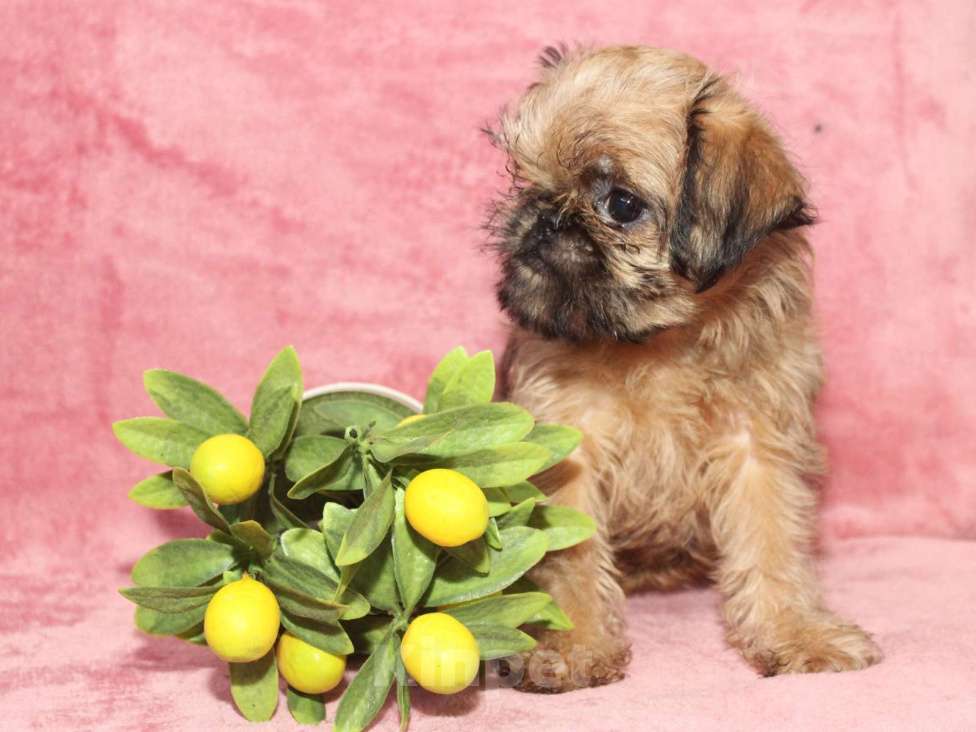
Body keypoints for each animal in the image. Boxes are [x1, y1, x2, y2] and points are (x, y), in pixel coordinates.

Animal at [492, 47, 880, 692]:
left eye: (621, 205)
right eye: (523, 179)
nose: (542, 216)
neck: (660, 343)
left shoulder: (758, 446)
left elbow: (771, 543)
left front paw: (797, 634)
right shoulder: (570, 445)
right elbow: (571, 556)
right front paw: (572, 644)